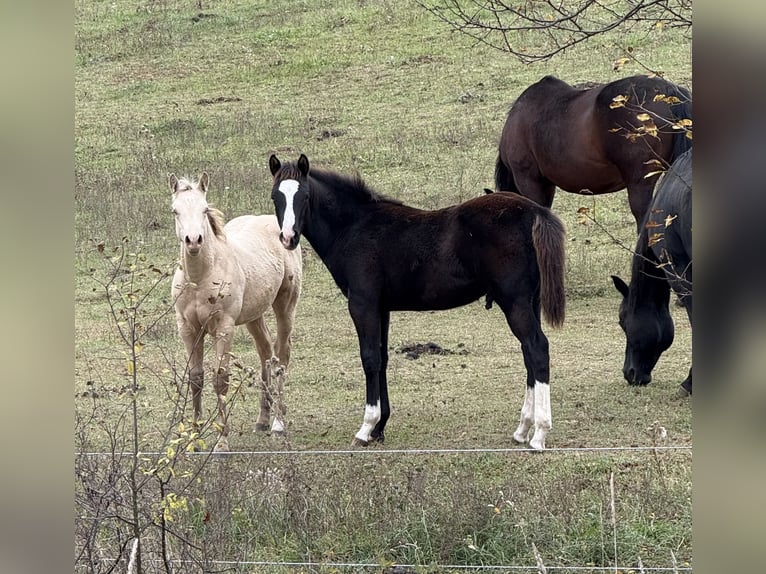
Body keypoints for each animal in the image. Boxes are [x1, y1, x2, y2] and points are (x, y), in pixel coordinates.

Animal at [169, 172, 302, 451]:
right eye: (175, 211)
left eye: (204, 209)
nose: (193, 241)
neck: (201, 278)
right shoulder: (187, 328)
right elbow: (195, 378)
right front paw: (194, 440)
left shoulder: (224, 327)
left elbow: (221, 379)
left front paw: (222, 442)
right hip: (254, 315)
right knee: (266, 352)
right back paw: (262, 420)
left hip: (285, 306)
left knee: (281, 356)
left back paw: (278, 425)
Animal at [268, 154, 566, 451]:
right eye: (275, 197)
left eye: (305, 196)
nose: (288, 238)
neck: (353, 228)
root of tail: (534, 212)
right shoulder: (382, 308)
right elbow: (383, 358)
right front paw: (379, 428)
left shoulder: (362, 304)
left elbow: (370, 359)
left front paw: (366, 428)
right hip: (530, 301)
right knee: (529, 354)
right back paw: (522, 429)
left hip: (514, 301)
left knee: (537, 349)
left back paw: (539, 434)